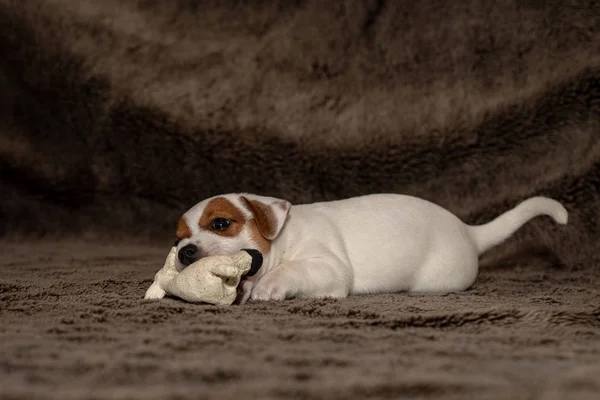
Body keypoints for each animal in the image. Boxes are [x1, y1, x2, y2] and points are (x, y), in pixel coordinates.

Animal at [168, 194, 568, 304]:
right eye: (177, 238)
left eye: (221, 223)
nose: (185, 252)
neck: (283, 238)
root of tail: (470, 233)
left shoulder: (327, 267)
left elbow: (292, 270)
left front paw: (269, 286)